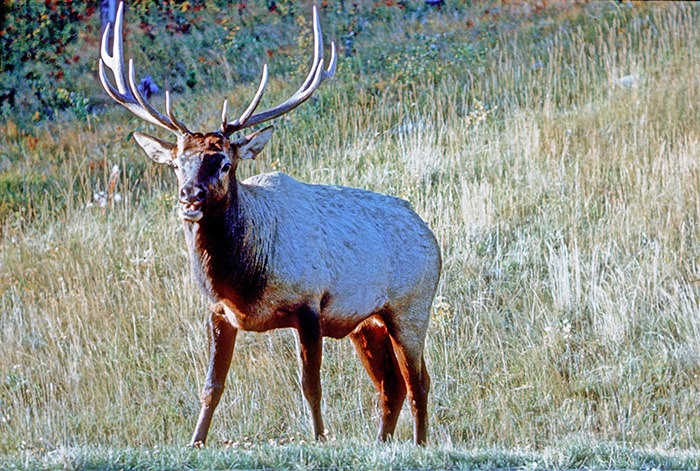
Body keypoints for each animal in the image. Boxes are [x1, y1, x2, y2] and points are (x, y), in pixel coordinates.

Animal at [98, 1, 440, 448]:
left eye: (224, 163)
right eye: (176, 164)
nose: (190, 196)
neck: (243, 280)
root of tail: (431, 235)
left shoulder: (310, 303)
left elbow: (310, 385)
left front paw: (319, 438)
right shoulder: (218, 311)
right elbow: (211, 386)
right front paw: (195, 442)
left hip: (411, 307)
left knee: (419, 381)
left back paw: (420, 444)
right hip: (367, 323)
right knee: (391, 385)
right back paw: (383, 443)